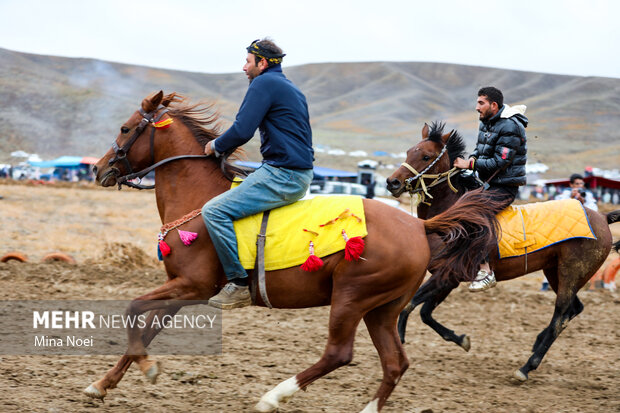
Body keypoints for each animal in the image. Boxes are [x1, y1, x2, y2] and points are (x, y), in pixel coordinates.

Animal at [85, 91, 502, 410]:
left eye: (125, 128)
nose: (98, 169)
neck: (199, 200)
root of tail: (418, 226)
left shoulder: (194, 286)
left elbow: (132, 309)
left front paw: (146, 369)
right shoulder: (180, 290)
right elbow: (146, 329)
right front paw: (102, 385)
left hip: (351, 297)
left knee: (339, 353)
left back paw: (272, 397)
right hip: (381, 309)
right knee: (395, 363)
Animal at [386, 120, 616, 382]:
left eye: (426, 156)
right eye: (408, 152)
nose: (392, 182)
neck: (450, 217)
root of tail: (602, 218)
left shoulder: (448, 274)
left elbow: (410, 305)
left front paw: (400, 341)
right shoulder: (447, 279)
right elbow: (425, 312)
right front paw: (461, 339)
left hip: (572, 273)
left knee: (560, 316)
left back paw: (527, 367)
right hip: (555, 272)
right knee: (573, 309)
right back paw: (536, 344)